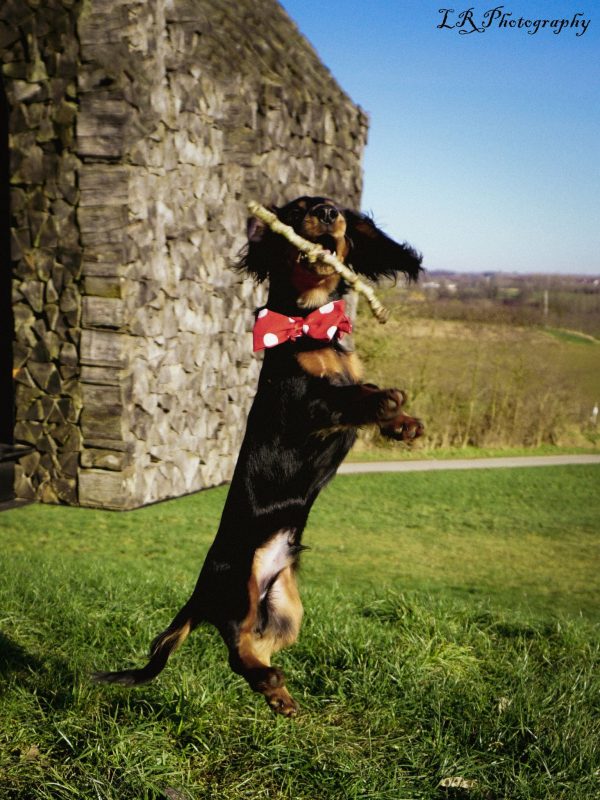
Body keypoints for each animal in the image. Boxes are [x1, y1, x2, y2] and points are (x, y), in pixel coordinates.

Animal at [95, 197, 422, 716]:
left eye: (335, 206)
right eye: (297, 208)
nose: (328, 212)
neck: (308, 325)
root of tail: (200, 593)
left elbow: (360, 390)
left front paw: (404, 423)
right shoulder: (301, 402)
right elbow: (348, 395)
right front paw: (383, 401)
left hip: (285, 607)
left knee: (254, 647)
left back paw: (278, 693)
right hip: (239, 586)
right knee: (235, 647)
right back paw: (269, 683)